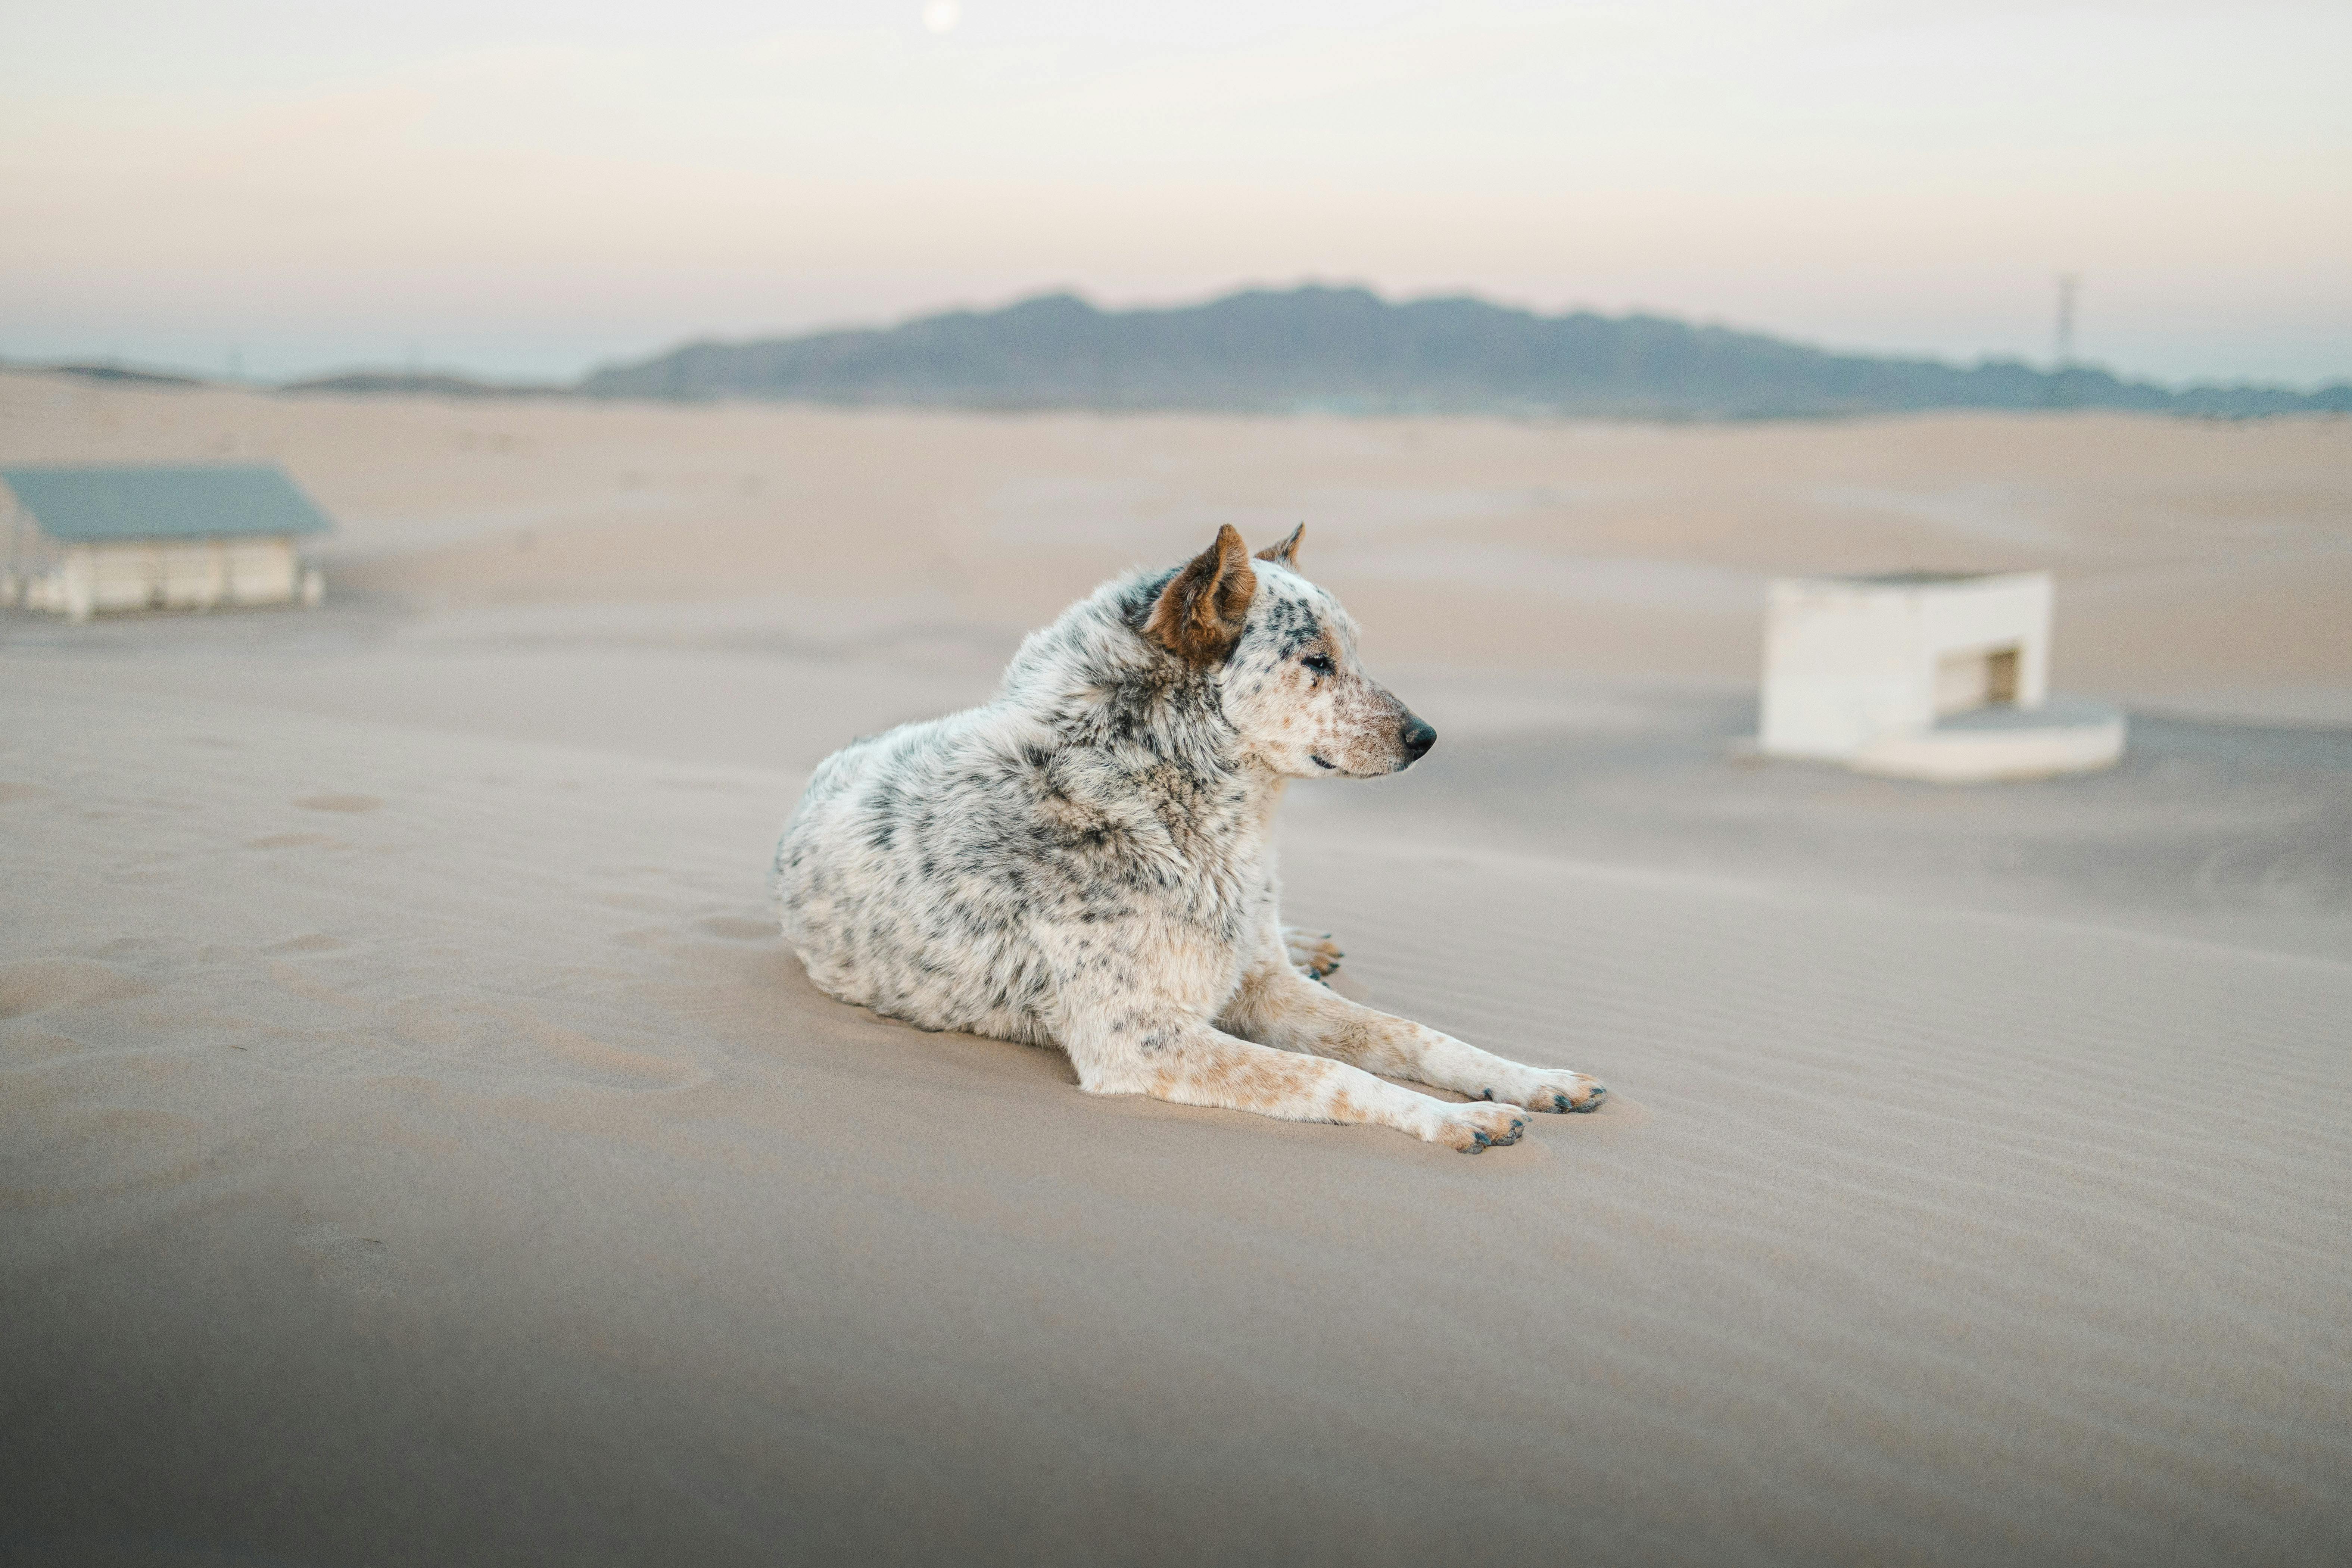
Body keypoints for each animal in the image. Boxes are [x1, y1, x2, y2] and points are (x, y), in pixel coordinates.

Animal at [767, 526, 1599, 1152]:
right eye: (1316, 661)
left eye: (1354, 653)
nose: (1425, 737)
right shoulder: (1140, 1040)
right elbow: (1335, 1076)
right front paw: (1452, 1117)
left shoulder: (1264, 986)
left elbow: (1410, 1033)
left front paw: (1531, 1078)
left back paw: (1313, 943)